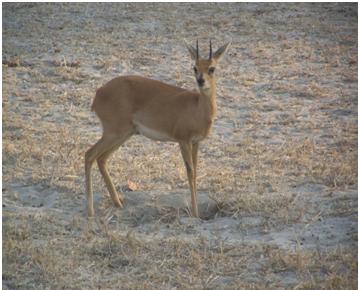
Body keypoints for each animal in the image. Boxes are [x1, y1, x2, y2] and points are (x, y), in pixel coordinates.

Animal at [85, 40, 231, 218]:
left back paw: (118, 203)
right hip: (113, 133)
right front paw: (195, 214)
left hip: (124, 134)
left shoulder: (196, 142)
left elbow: (195, 171)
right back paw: (91, 211)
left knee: (101, 159)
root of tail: (98, 93)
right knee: (89, 155)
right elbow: (189, 172)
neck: (197, 108)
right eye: (194, 67)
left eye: (212, 68)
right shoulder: (183, 141)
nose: (200, 81)